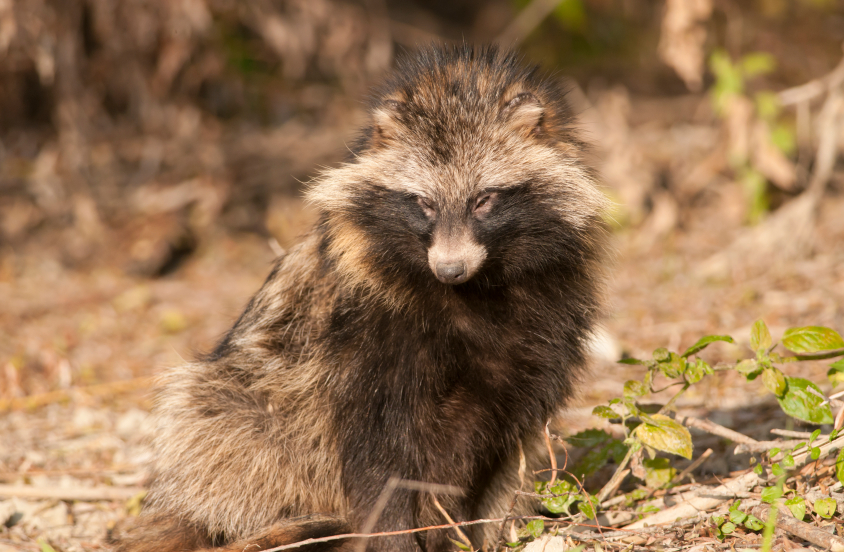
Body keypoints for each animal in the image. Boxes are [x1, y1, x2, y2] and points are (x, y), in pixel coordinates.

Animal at [118, 45, 608, 548]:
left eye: (484, 199)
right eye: (423, 203)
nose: (450, 269)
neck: (472, 291)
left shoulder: (543, 326)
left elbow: (507, 436)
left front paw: (469, 531)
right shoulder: (362, 334)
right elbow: (375, 454)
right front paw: (393, 536)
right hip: (242, 410)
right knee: (219, 415)